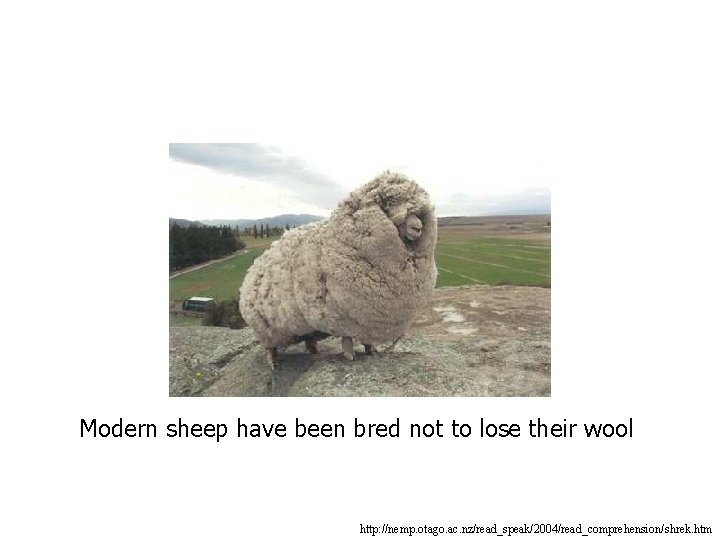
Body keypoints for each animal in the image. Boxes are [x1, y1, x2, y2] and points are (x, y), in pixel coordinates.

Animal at [239, 171, 437, 369]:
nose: (418, 227)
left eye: (418, 213)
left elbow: (367, 341)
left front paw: (371, 351)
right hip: (265, 327)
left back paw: (314, 351)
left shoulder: (367, 322)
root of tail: (253, 268)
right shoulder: (343, 317)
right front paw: (350, 356)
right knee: (269, 347)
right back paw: (273, 363)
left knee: (309, 338)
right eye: (389, 203)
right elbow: (347, 338)